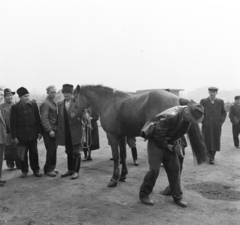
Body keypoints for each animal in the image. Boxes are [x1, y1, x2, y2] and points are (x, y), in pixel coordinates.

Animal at [69, 85, 206, 187]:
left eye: (74, 99)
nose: (70, 115)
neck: (109, 102)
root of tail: (178, 100)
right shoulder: (122, 136)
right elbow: (123, 155)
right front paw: (123, 175)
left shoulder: (112, 136)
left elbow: (116, 156)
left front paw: (114, 179)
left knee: (179, 156)